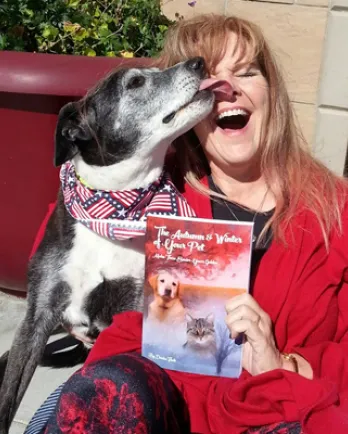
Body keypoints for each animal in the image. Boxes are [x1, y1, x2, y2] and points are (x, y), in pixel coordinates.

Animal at [0, 56, 218, 430]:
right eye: (135, 83)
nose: (198, 61)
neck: (115, 207)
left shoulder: (131, 310)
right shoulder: (36, 318)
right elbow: (8, 396)